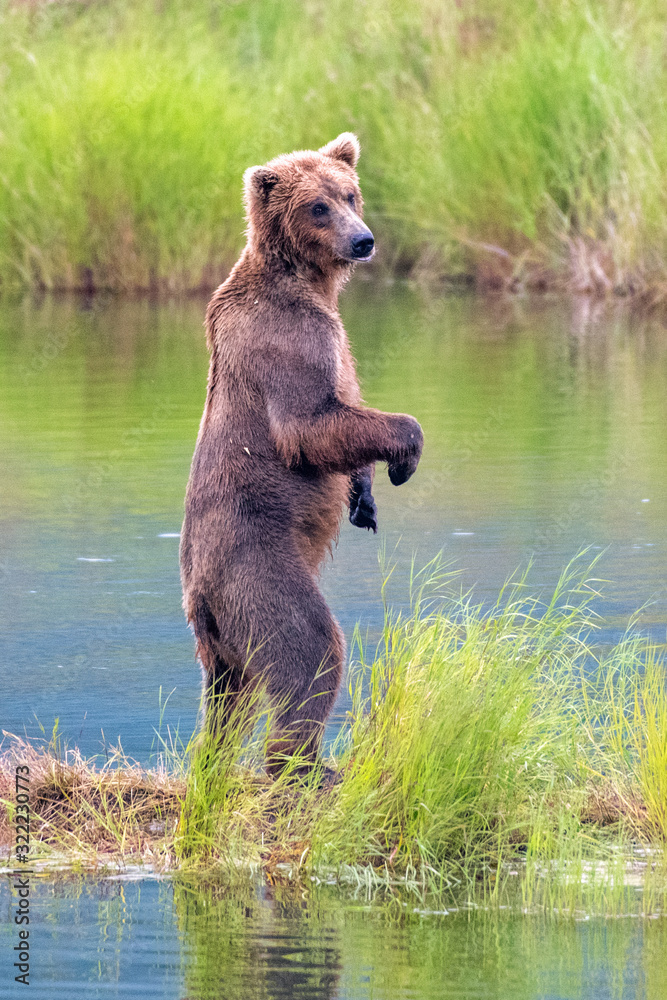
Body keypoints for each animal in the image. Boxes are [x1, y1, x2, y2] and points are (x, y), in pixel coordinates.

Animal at [179, 133, 423, 778]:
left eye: (350, 193)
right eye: (317, 207)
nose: (363, 240)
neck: (309, 284)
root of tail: (199, 599)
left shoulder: (335, 335)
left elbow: (345, 414)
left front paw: (365, 496)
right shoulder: (286, 336)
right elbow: (309, 425)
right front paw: (406, 449)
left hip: (221, 643)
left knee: (226, 700)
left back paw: (215, 763)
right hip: (257, 570)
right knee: (309, 649)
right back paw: (304, 766)